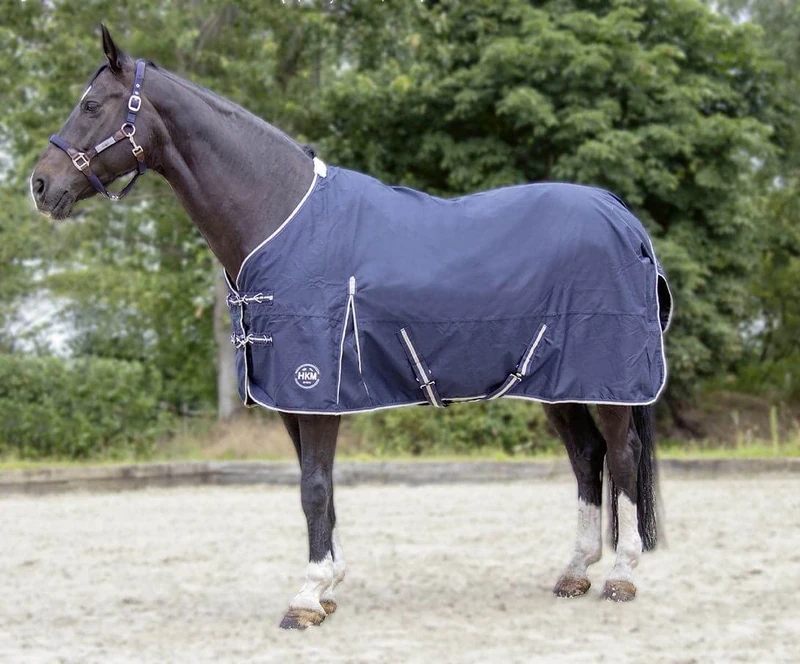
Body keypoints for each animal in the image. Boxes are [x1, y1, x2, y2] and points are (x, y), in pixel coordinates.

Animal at [30, 26, 670, 629]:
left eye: (91, 105)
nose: (40, 185)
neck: (281, 219)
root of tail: (622, 215)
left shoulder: (314, 387)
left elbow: (314, 488)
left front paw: (307, 597)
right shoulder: (292, 398)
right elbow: (320, 486)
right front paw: (330, 586)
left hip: (606, 382)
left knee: (620, 455)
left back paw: (620, 575)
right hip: (557, 382)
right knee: (586, 456)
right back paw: (575, 571)